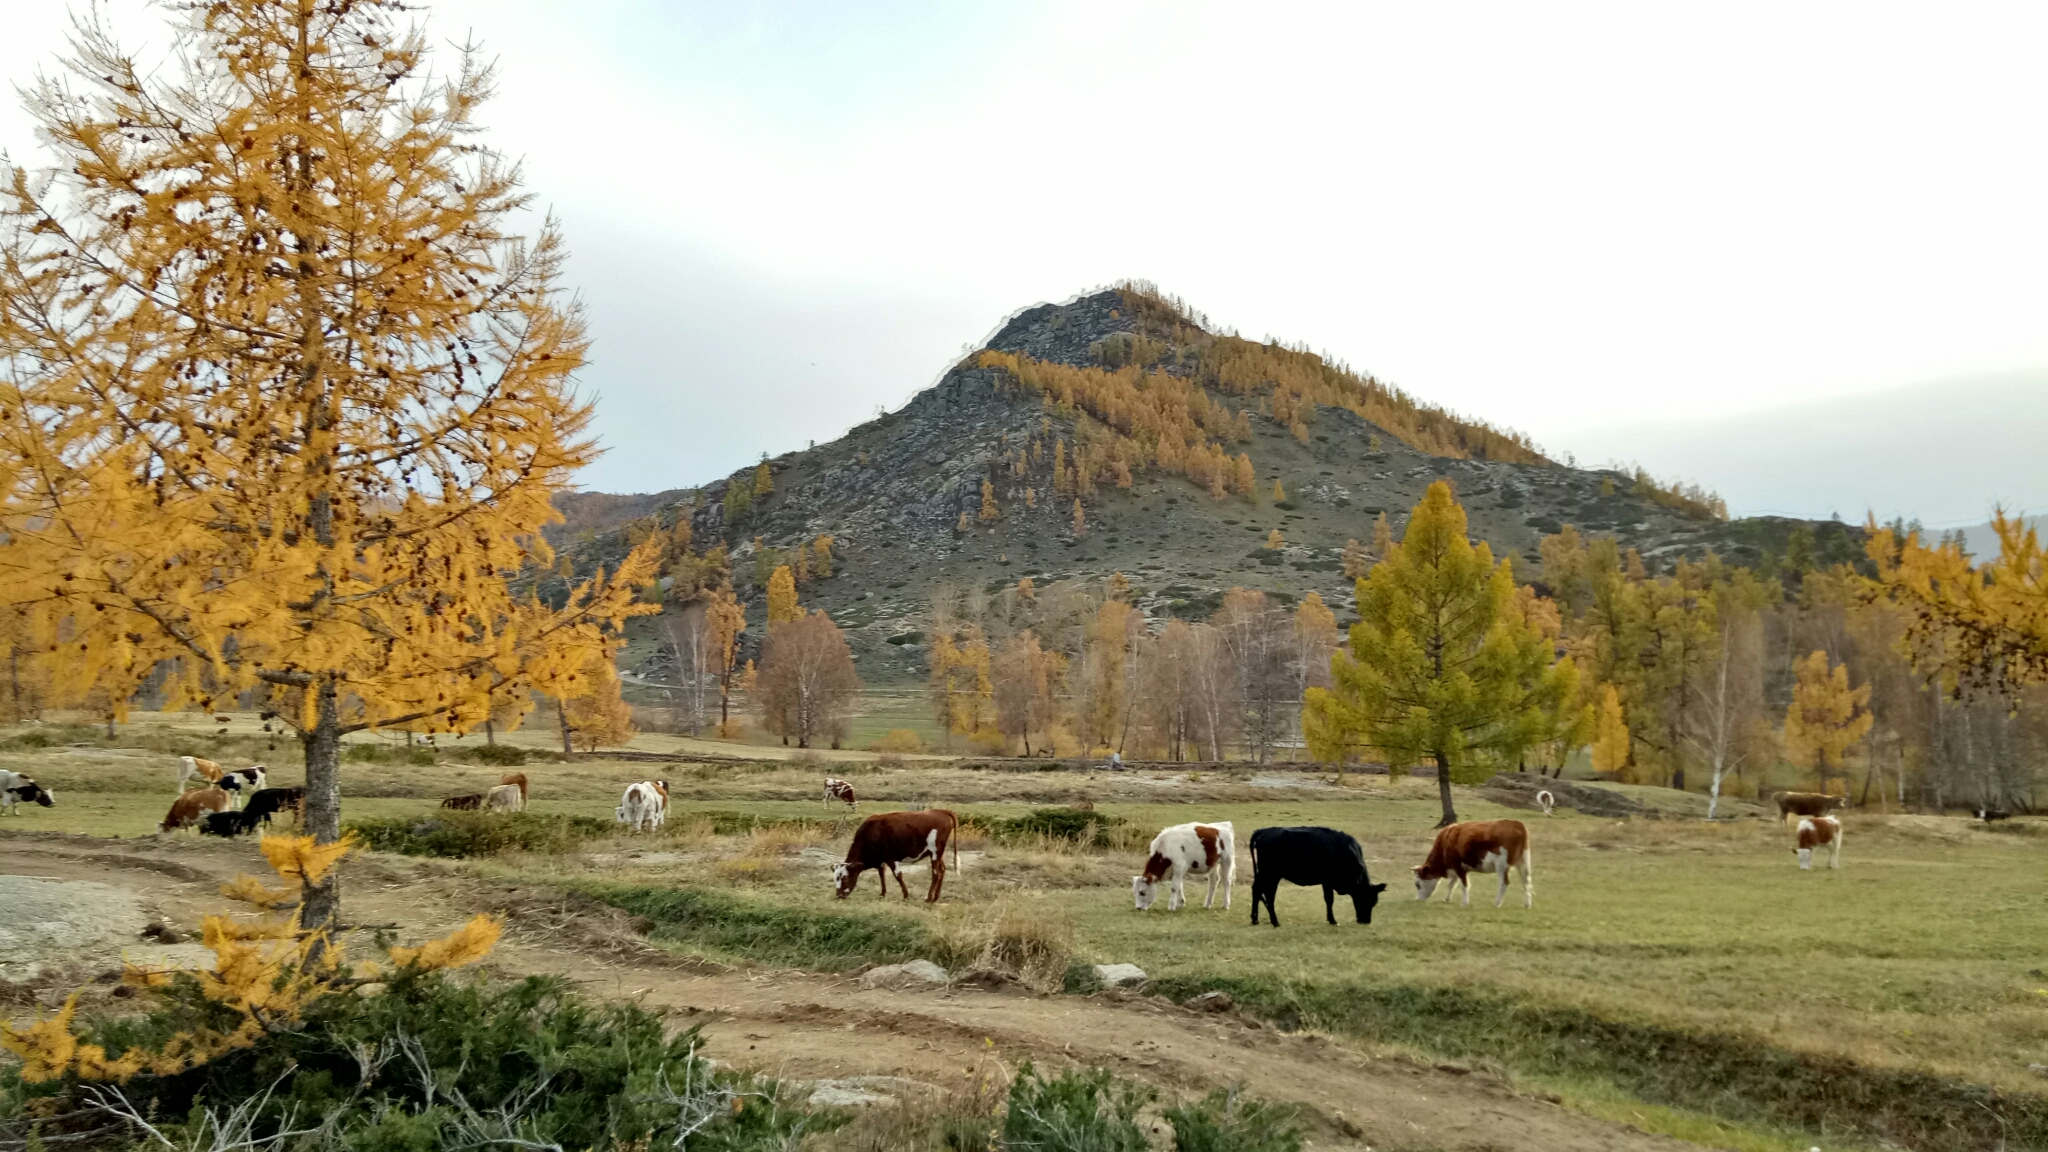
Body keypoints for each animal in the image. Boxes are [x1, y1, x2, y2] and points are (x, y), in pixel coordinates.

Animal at [1236, 819, 1384, 926]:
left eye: (1374, 902)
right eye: (1367, 899)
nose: (1366, 921)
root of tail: (1263, 831)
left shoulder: (1327, 882)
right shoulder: (1328, 881)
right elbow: (1329, 899)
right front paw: (1333, 920)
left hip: (1264, 874)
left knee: (1257, 890)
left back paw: (1255, 919)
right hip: (1271, 874)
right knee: (1268, 894)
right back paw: (1275, 921)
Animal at [1409, 815, 1540, 906]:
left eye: (1417, 884)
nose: (1418, 899)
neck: (1446, 840)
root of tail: (1517, 824)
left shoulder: (1459, 866)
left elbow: (1464, 884)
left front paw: (1465, 903)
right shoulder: (1455, 868)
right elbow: (1452, 884)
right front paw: (1447, 899)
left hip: (1502, 865)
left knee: (1504, 883)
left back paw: (1497, 903)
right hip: (1523, 861)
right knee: (1526, 881)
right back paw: (1527, 904)